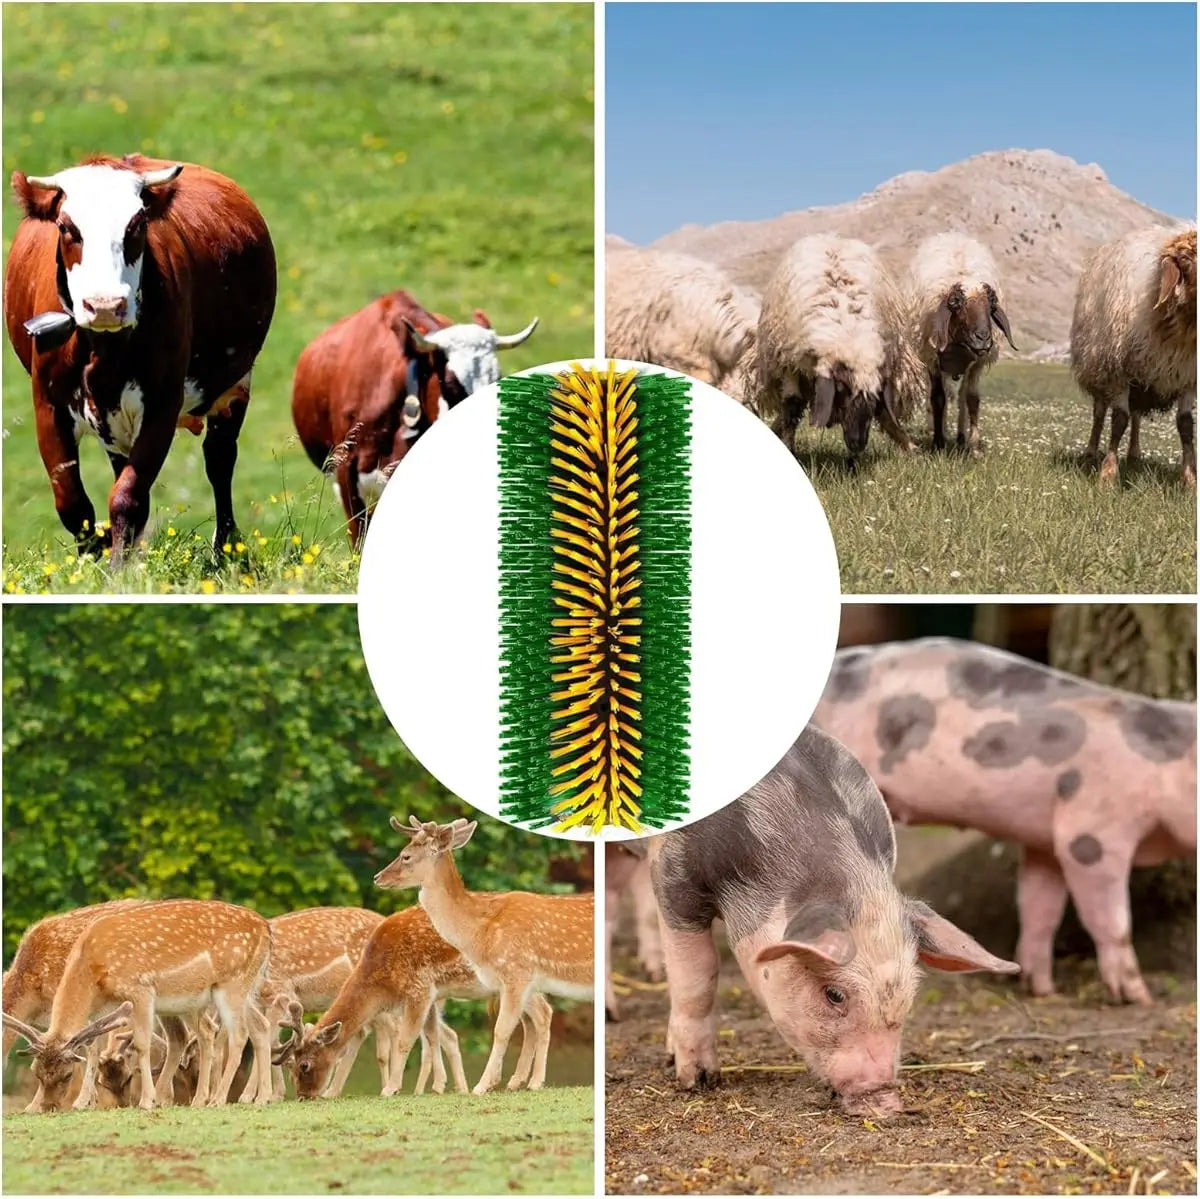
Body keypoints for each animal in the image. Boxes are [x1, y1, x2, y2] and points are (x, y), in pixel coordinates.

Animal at [4, 153, 276, 562]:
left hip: (235, 384)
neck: (104, 349)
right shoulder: (47, 405)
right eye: (67, 227)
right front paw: (93, 559)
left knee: (219, 459)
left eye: (137, 224)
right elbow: (73, 504)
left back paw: (226, 547)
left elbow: (129, 497)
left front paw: (120, 567)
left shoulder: (163, 402)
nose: (104, 305)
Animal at [755, 234, 925, 461]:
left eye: (872, 399)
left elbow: (884, 412)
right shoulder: (789, 364)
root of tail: (831, 236)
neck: (848, 333)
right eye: (841, 389)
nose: (857, 443)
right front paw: (789, 450)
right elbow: (792, 407)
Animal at [906, 233, 1016, 456]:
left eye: (990, 306)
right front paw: (938, 443)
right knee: (941, 397)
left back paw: (961, 437)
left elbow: (972, 400)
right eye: (957, 304)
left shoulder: (976, 364)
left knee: (961, 397)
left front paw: (974, 446)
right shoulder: (933, 360)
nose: (983, 338)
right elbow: (938, 399)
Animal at [1070, 225, 1197, 487]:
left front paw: (1190, 480)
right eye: (1185, 259)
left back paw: (1134, 454)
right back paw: (1090, 452)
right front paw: (1108, 474)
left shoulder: (1187, 375)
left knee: (1136, 415)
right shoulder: (1118, 370)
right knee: (1099, 414)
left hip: (1141, 379)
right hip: (1100, 368)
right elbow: (1118, 421)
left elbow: (1186, 425)